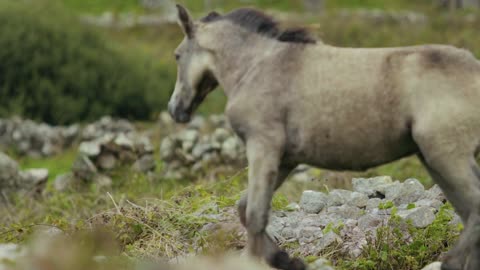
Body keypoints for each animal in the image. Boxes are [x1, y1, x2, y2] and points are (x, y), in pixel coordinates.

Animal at [167, 4, 480, 270]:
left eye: (177, 55)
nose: (175, 110)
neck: (256, 67)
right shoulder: (285, 160)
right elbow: (245, 209)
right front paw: (287, 260)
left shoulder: (263, 146)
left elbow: (255, 215)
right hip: (435, 160)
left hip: (446, 156)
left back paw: (449, 262)